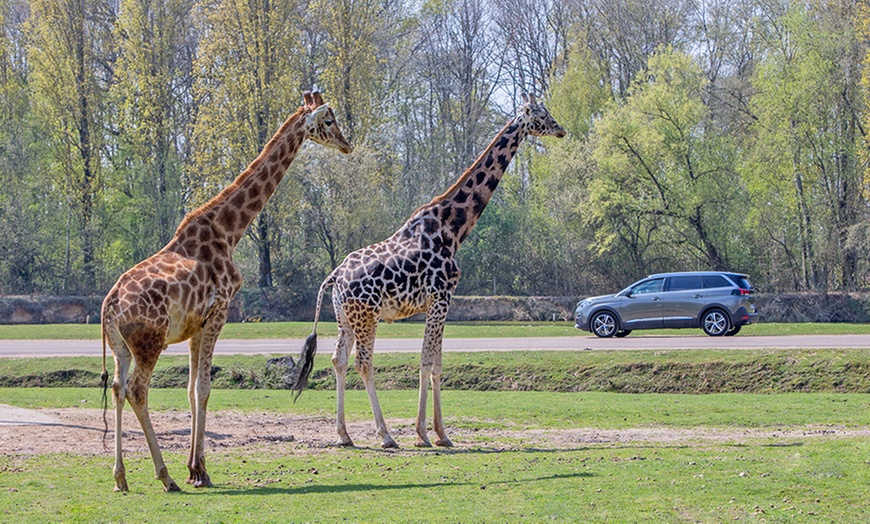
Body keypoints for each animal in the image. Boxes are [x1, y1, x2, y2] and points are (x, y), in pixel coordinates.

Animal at [104, 91, 356, 492]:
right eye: (329, 121)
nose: (347, 145)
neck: (229, 231)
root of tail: (109, 307)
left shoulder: (195, 326)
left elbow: (192, 389)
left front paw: (196, 469)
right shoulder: (218, 313)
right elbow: (205, 388)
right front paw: (197, 471)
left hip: (121, 347)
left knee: (116, 388)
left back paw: (121, 477)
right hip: (149, 342)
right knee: (136, 390)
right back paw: (164, 476)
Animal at [290, 93, 568, 446]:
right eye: (542, 116)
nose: (561, 130)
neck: (453, 228)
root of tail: (334, 277)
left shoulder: (441, 303)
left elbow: (437, 363)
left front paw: (440, 433)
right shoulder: (440, 299)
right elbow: (426, 363)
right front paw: (425, 432)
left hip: (345, 318)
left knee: (338, 360)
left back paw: (344, 434)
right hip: (367, 316)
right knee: (364, 363)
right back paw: (385, 435)